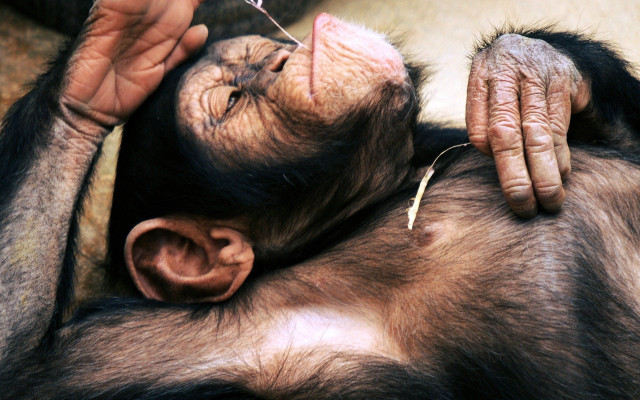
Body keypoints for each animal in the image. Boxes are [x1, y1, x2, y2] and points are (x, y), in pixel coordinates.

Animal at [1, 0, 640, 399]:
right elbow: (36, 369)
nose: (279, 57)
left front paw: (523, 74)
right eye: (232, 100)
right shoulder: (198, 342)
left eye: (254, 52)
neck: (370, 208)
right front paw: (94, 74)